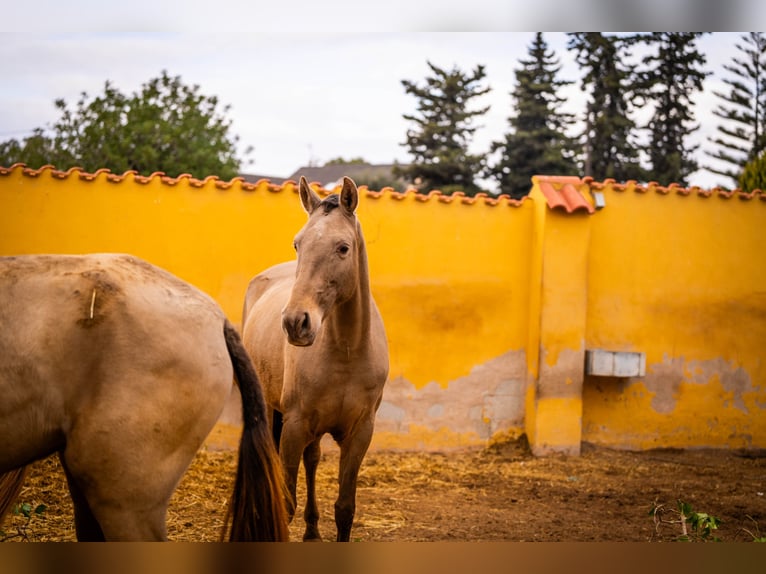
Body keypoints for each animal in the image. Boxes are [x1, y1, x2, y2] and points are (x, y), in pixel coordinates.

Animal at [242, 176, 389, 542]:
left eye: (343, 248)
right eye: (298, 245)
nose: (296, 322)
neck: (347, 352)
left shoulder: (360, 432)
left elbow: (345, 508)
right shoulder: (294, 427)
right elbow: (286, 503)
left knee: (313, 459)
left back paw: (311, 530)